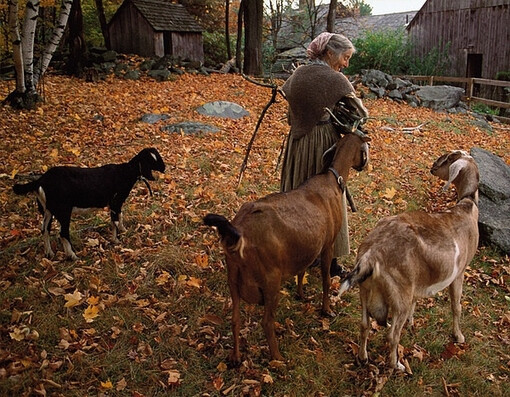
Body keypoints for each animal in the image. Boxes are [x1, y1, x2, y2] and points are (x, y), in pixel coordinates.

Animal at [12, 147, 165, 258]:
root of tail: (41, 180)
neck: (125, 172)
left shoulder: (116, 204)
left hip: (47, 209)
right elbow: (115, 221)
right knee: (63, 233)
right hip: (63, 210)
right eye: (152, 160)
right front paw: (116, 240)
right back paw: (72, 255)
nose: (164, 168)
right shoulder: (115, 201)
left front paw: (123, 230)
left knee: (44, 229)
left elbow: (119, 217)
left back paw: (49, 253)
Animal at [204, 132, 370, 362]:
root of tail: (238, 234)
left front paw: (301, 294)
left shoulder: (306, 246)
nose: (364, 166)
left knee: (235, 320)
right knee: (266, 322)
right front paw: (326, 309)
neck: (331, 180)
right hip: (271, 280)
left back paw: (236, 358)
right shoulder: (327, 245)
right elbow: (326, 280)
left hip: (233, 279)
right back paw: (277, 358)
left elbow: (301, 271)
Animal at [338, 149, 478, 372]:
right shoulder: (460, 272)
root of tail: (371, 254)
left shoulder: (417, 282)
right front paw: (459, 337)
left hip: (365, 289)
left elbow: (416, 302)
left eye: (448, 158)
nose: (433, 167)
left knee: (364, 324)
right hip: (399, 293)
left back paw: (363, 358)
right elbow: (456, 306)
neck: (467, 207)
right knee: (392, 334)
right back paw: (397, 365)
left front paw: (412, 323)